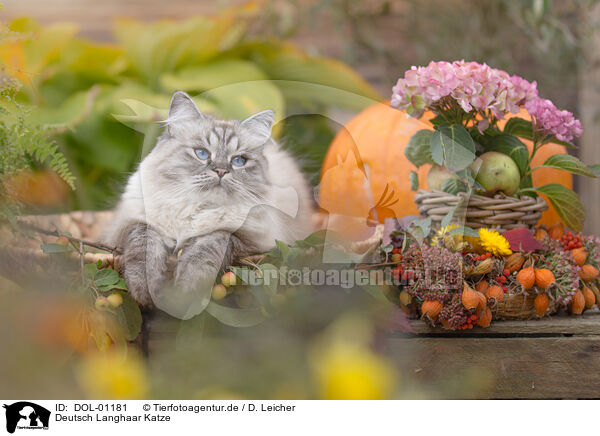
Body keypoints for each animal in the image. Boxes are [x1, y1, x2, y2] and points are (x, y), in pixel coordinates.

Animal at [105, 90, 316, 318]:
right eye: (202, 153)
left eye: (239, 161)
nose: (221, 171)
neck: (196, 209)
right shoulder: (131, 226)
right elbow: (143, 248)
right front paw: (145, 292)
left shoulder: (247, 242)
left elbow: (208, 246)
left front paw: (186, 291)